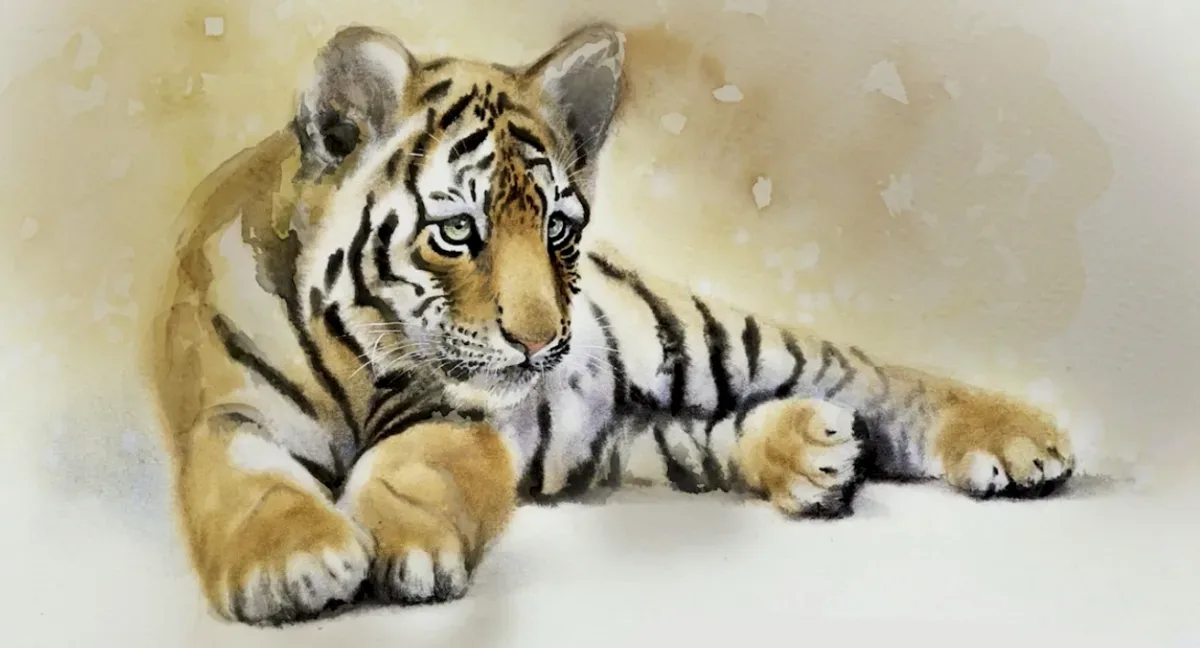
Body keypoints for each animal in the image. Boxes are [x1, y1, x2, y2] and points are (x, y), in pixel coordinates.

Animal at [148, 22, 1076, 626]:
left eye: (558, 227)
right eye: (458, 231)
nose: (540, 340)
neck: (356, 353)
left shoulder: (456, 418)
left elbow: (416, 466)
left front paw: (396, 546)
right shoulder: (226, 415)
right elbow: (247, 484)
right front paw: (295, 564)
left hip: (686, 333)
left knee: (865, 372)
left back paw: (1017, 440)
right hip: (613, 448)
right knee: (710, 434)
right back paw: (814, 454)